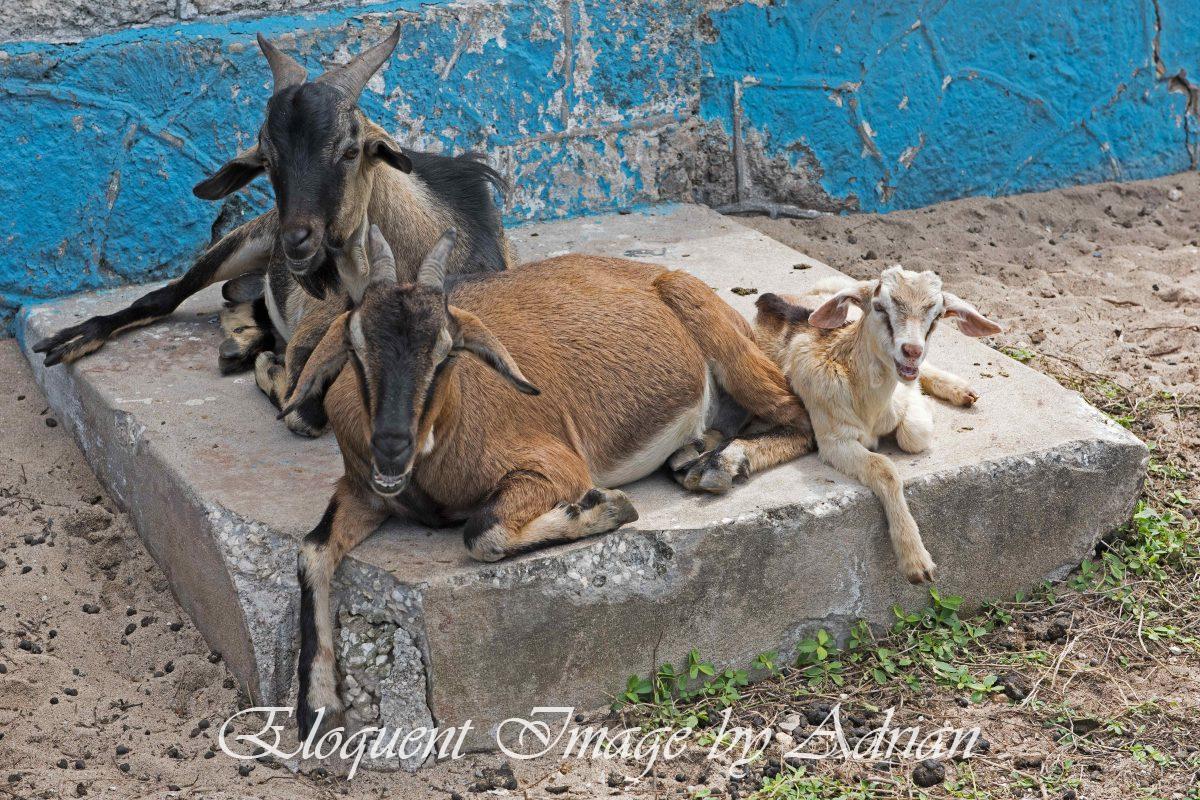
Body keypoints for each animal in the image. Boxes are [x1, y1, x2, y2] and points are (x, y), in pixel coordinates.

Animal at [33, 24, 512, 432]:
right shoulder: (312, 337)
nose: (296, 241)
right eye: (266, 158)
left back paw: (240, 341)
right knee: (165, 296)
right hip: (242, 241)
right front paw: (268, 367)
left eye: (351, 150)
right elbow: (301, 410)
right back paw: (77, 339)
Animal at [282, 226, 814, 738]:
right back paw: (694, 453)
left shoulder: (556, 466)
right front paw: (317, 706)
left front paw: (604, 508)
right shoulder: (362, 489)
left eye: (446, 352)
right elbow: (312, 550)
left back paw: (722, 464)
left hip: (729, 348)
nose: (392, 445)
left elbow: (481, 532)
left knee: (798, 414)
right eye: (356, 348)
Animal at [753, 266, 1001, 584]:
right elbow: (883, 468)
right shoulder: (833, 437)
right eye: (881, 307)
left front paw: (928, 405)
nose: (912, 350)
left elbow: (913, 435)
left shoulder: (902, 396)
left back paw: (962, 390)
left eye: (936, 316)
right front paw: (916, 561)